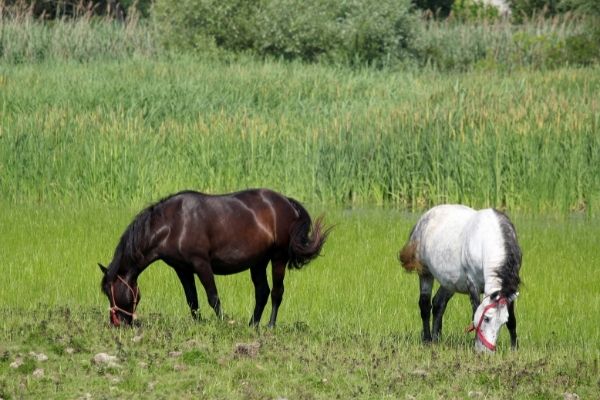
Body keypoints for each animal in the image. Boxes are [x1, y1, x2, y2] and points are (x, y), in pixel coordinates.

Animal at [100, 190, 330, 328]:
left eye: (113, 291)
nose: (117, 323)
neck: (174, 224)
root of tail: (287, 203)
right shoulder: (182, 269)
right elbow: (192, 299)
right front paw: (197, 323)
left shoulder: (201, 264)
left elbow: (213, 297)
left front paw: (221, 324)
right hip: (258, 262)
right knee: (262, 292)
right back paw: (252, 325)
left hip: (278, 257)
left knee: (276, 292)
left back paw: (270, 326)